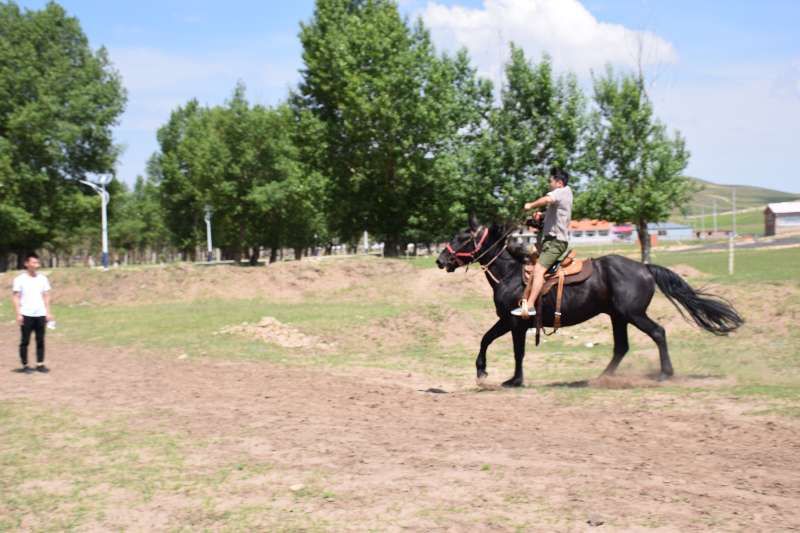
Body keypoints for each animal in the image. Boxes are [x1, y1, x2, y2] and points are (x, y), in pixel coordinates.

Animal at [438, 216, 744, 386]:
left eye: (463, 236)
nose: (441, 259)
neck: (511, 273)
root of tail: (645, 268)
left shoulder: (517, 323)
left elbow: (517, 352)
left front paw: (515, 380)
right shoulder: (505, 320)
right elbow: (485, 339)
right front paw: (481, 372)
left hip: (633, 314)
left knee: (658, 332)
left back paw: (664, 373)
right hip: (618, 317)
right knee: (621, 347)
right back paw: (602, 377)